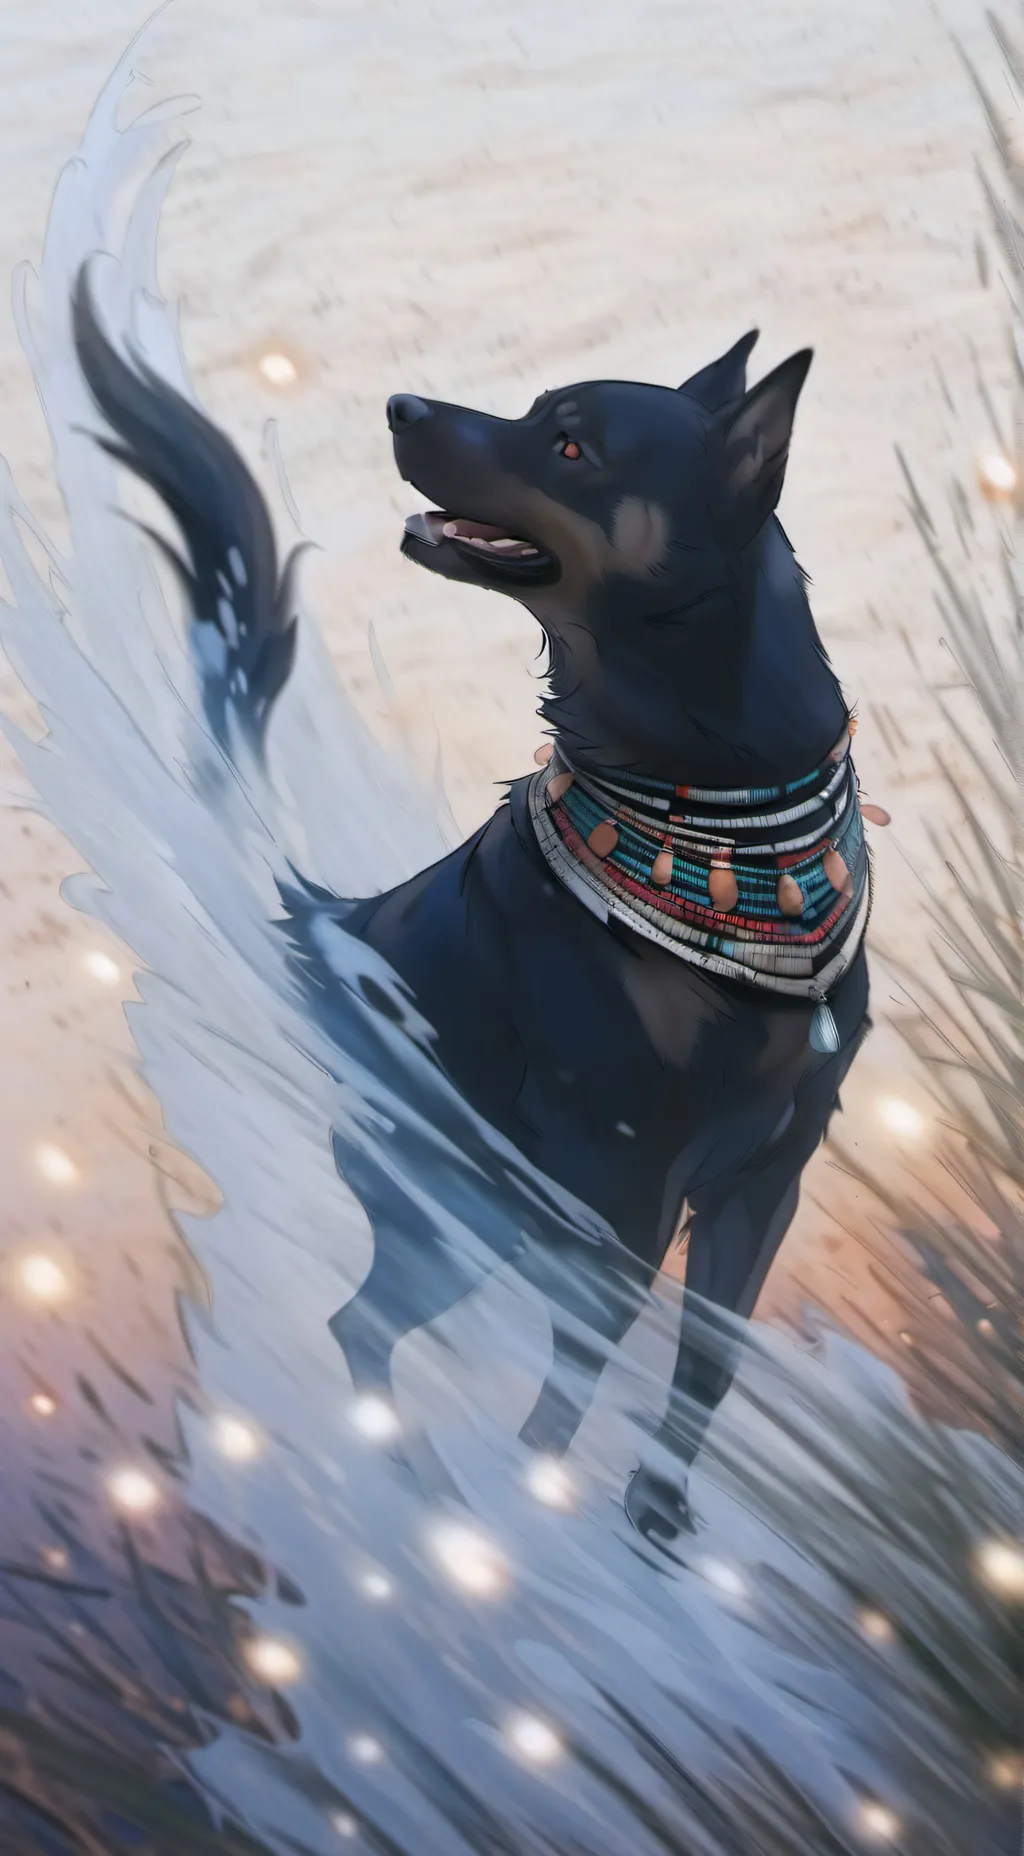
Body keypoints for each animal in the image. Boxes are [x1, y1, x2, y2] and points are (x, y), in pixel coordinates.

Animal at [72, 272, 871, 1546]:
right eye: (536, 411)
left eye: (569, 442)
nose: (399, 406)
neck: (722, 821)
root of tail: (325, 922)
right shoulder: (619, 1186)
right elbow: (577, 1379)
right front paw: (539, 1507)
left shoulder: (763, 1182)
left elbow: (702, 1373)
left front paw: (652, 1524)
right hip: (467, 1197)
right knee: (361, 1323)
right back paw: (435, 1493)